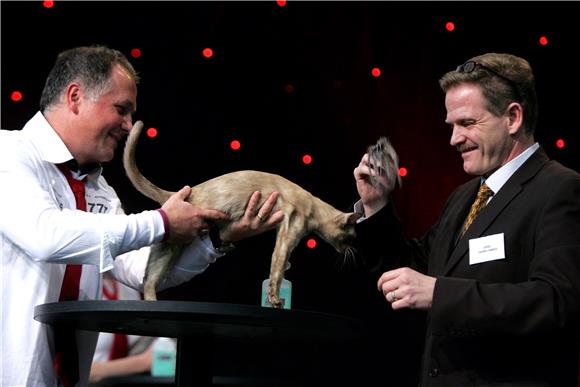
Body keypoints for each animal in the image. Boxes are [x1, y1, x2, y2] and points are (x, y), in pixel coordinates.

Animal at [124, 119, 396, 308]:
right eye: (351, 238)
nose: (351, 249)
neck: (312, 206)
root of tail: (186, 192)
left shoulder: (282, 235)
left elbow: (282, 268)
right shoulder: (287, 236)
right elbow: (276, 271)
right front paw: (275, 301)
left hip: (169, 249)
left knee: (148, 280)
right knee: (149, 280)